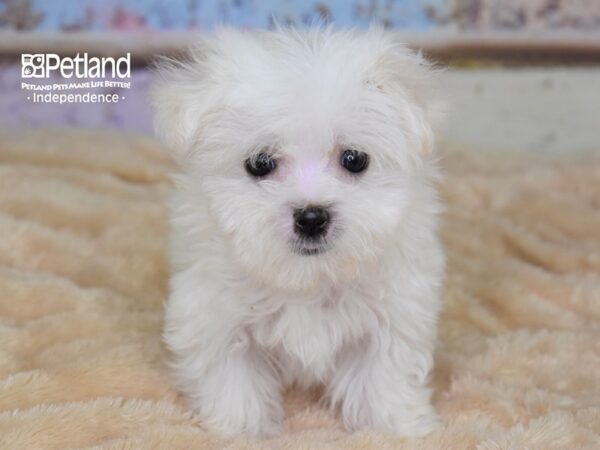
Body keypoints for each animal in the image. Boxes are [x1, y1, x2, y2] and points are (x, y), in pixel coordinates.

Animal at [154, 27, 446, 436]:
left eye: (354, 159)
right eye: (260, 163)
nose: (311, 218)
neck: (308, 277)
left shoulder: (395, 311)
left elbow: (383, 373)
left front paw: (393, 427)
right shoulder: (215, 314)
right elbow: (232, 376)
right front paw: (241, 429)